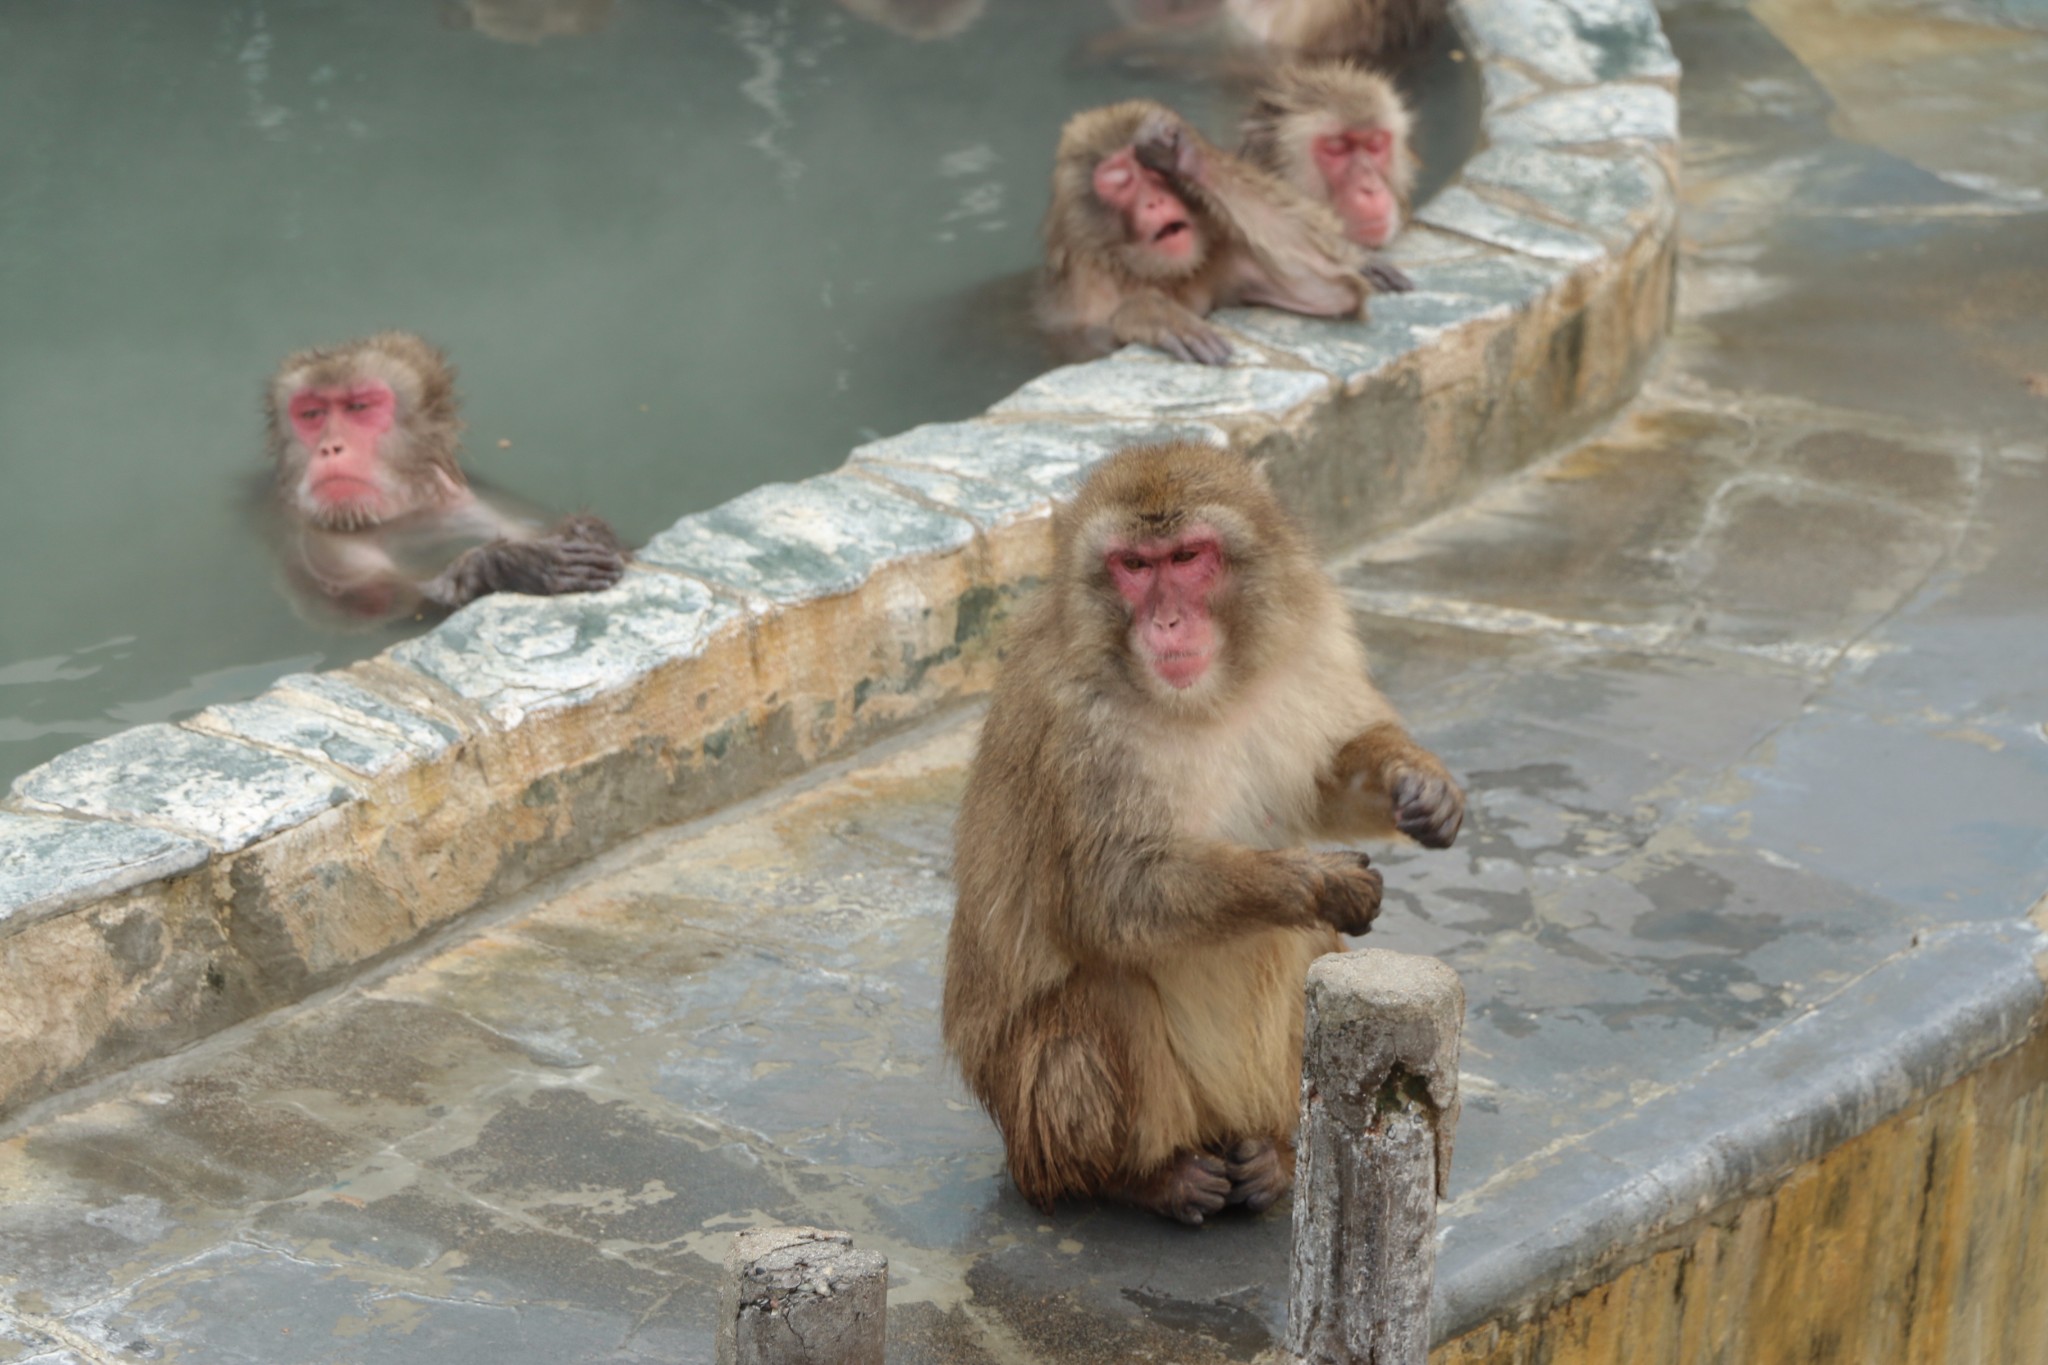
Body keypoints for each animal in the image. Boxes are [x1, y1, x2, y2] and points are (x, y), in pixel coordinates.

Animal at [260, 331, 622, 630]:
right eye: (311, 414)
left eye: (358, 407)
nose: (329, 447)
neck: (402, 513)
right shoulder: (322, 541)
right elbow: (404, 594)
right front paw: (507, 564)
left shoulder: (473, 500)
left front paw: (588, 529)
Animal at [937, 439, 1466, 1227]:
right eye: (1133, 565)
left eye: (1187, 557)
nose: (1166, 624)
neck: (1204, 698)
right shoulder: (1077, 724)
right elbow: (1110, 895)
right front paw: (1315, 878)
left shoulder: (1307, 647)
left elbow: (1326, 778)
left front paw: (1420, 783)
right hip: (1033, 1117)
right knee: (1110, 981)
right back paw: (1141, 1179)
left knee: (1299, 945)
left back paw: (1274, 1156)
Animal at [1040, 100, 1392, 368]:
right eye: (1121, 181)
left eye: (1153, 174)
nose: (1155, 201)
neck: (1144, 272)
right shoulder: (1085, 297)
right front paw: (1152, 313)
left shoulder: (1224, 259)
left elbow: (1329, 290)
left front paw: (1183, 154)